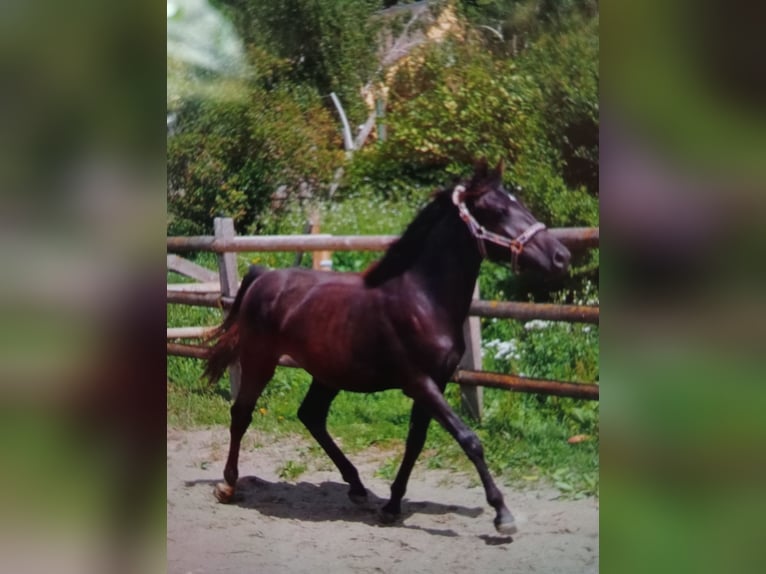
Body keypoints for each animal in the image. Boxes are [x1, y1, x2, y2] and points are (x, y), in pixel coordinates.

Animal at [204, 162, 568, 536]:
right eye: (497, 210)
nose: (561, 256)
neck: (423, 299)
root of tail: (263, 276)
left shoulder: (435, 383)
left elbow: (415, 442)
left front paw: (392, 506)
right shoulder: (419, 382)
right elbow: (469, 439)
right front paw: (502, 514)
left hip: (328, 374)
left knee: (311, 416)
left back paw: (357, 487)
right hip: (260, 360)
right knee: (242, 413)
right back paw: (228, 485)